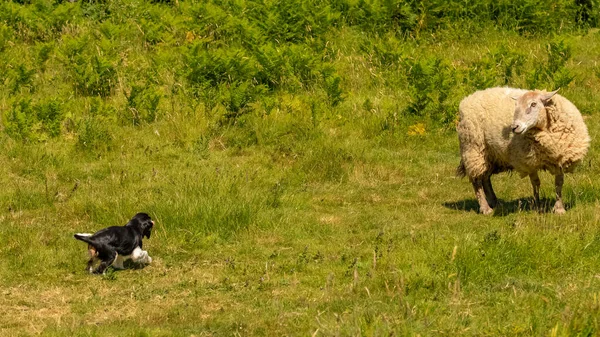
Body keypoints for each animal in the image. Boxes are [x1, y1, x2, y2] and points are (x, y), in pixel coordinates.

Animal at [458, 86, 588, 213]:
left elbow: (558, 183)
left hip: (490, 155)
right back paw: (485, 208)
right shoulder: (529, 161)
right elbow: (535, 183)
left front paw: (559, 208)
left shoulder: (560, 158)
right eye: (516, 105)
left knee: (485, 177)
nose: (514, 127)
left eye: (534, 104)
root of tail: (468, 98)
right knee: (477, 180)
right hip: (473, 148)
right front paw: (537, 205)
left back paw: (494, 202)